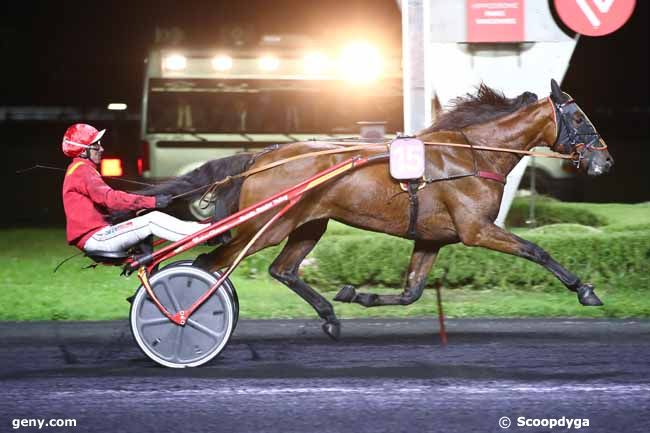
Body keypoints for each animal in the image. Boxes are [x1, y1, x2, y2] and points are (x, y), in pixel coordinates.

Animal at [142, 79, 612, 340]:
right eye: (581, 118)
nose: (605, 161)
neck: (474, 154)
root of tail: (262, 157)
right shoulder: (476, 229)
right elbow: (538, 250)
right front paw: (585, 290)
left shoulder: (433, 237)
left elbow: (412, 291)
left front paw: (357, 293)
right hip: (264, 226)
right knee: (208, 264)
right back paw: (183, 315)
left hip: (308, 225)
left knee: (282, 269)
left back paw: (330, 317)